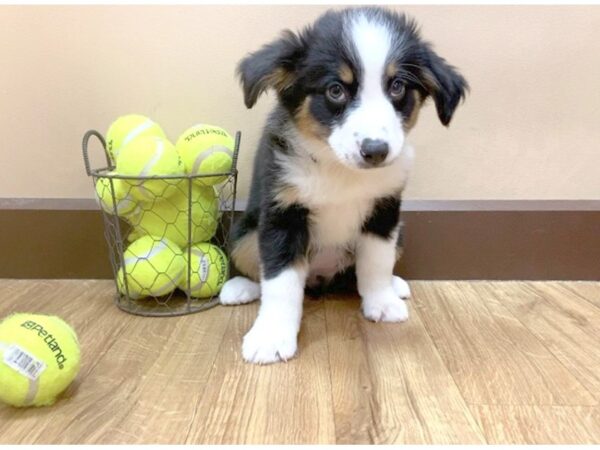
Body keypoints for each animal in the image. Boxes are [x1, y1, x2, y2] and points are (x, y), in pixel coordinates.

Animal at [220, 7, 468, 364]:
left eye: (397, 86)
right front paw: (271, 336)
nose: (376, 150)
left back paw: (395, 285)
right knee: (256, 266)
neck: (338, 167)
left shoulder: (384, 211)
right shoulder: (284, 213)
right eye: (336, 90)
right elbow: (280, 281)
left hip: (400, 232)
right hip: (246, 230)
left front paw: (382, 302)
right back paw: (239, 287)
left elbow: (376, 262)